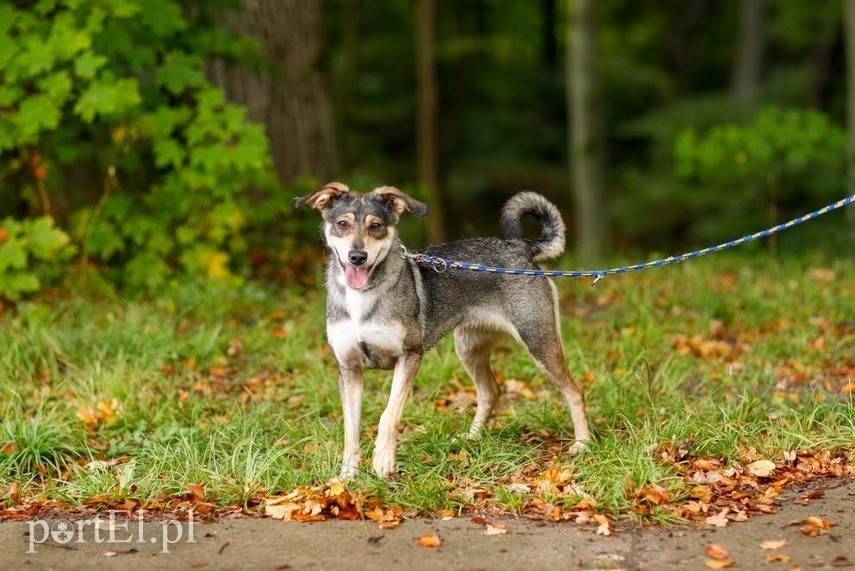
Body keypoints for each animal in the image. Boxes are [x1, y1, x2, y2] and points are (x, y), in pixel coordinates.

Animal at [296, 182, 588, 478]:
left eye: (376, 226)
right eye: (342, 224)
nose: (357, 257)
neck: (362, 297)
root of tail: (521, 247)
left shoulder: (410, 356)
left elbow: (388, 414)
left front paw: (383, 461)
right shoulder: (348, 369)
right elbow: (351, 428)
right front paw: (347, 474)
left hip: (539, 343)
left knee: (574, 391)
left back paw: (583, 443)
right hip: (468, 349)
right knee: (490, 392)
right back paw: (471, 438)